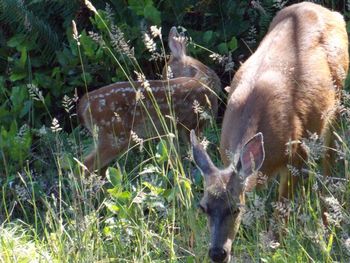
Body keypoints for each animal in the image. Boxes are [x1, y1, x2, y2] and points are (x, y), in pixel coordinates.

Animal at [78, 26, 221, 174]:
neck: (204, 78)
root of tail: (84, 104)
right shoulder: (193, 124)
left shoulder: (171, 130)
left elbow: (175, 157)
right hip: (114, 137)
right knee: (83, 166)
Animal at [190, 2, 348, 263]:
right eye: (203, 207)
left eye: (236, 208)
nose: (217, 253)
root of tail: (329, 12)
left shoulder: (297, 155)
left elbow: (281, 212)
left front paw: (273, 247)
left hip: (336, 101)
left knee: (330, 160)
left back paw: (327, 222)